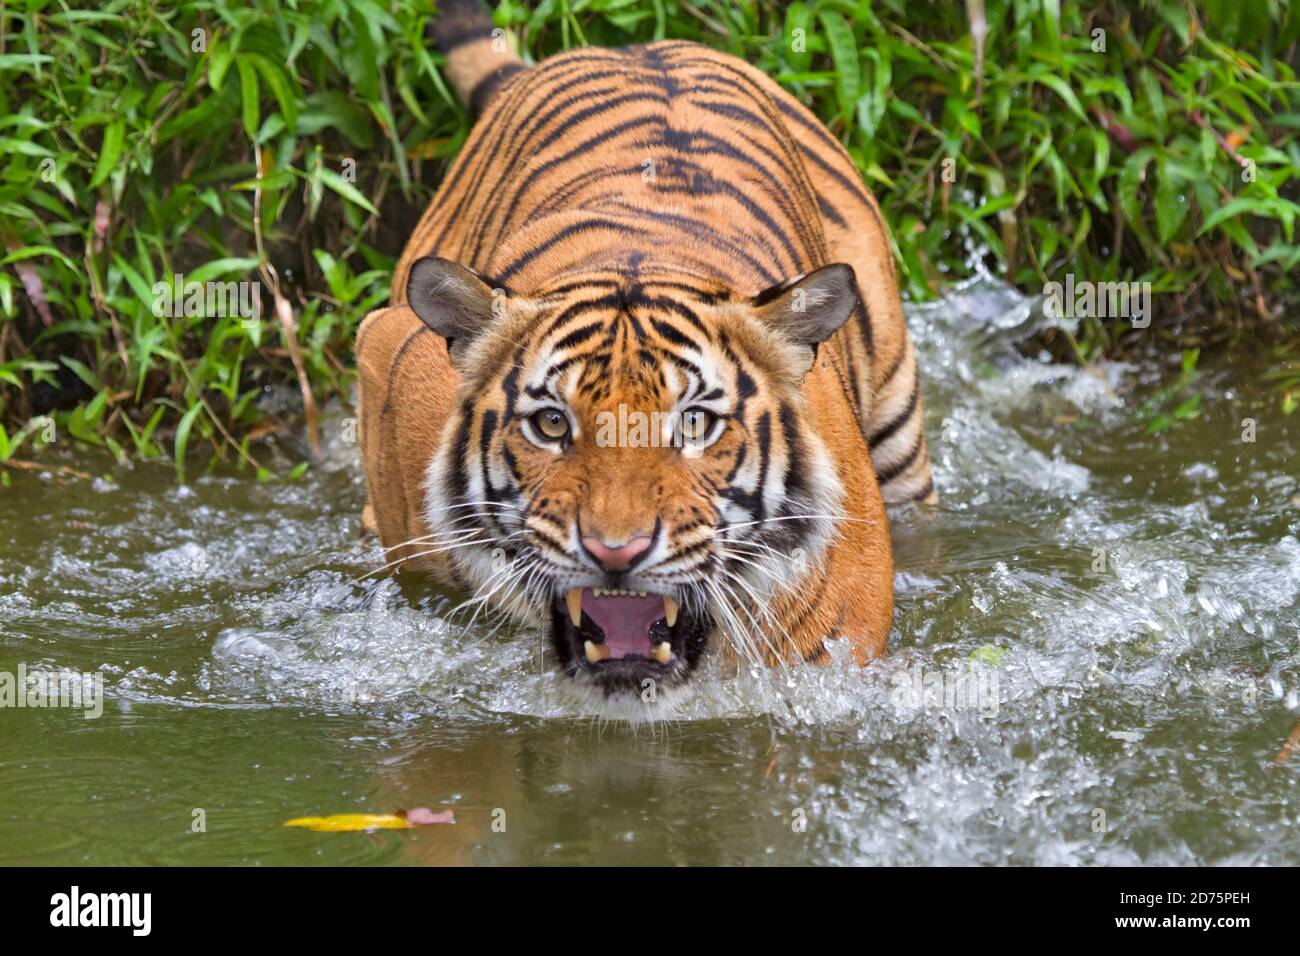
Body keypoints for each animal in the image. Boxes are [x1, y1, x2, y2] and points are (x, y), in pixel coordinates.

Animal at [356, 0, 935, 712]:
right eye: (552, 423)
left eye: (695, 423)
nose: (615, 553)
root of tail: (635, 48)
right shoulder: (388, 350)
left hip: (902, 441)